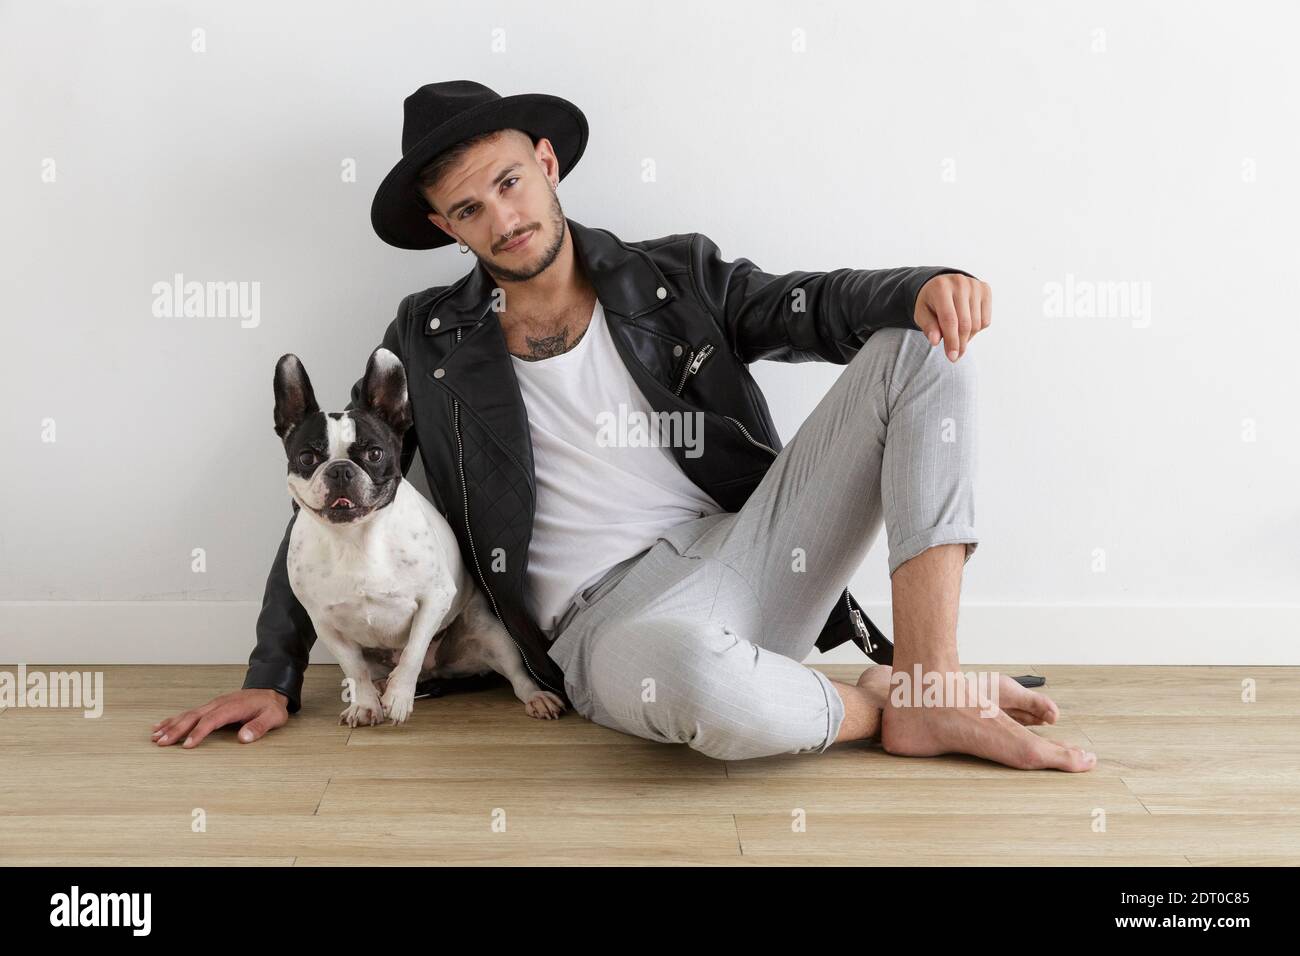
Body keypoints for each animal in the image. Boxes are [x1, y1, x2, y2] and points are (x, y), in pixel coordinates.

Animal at [271, 348, 561, 728]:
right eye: (307, 457)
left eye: (374, 453)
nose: (340, 470)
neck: (355, 538)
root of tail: (437, 672)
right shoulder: (325, 622)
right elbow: (354, 668)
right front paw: (366, 704)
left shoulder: (433, 599)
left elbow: (412, 650)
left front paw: (398, 697)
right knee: (371, 670)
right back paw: (379, 685)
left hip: (492, 634)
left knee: (516, 675)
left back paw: (538, 698)